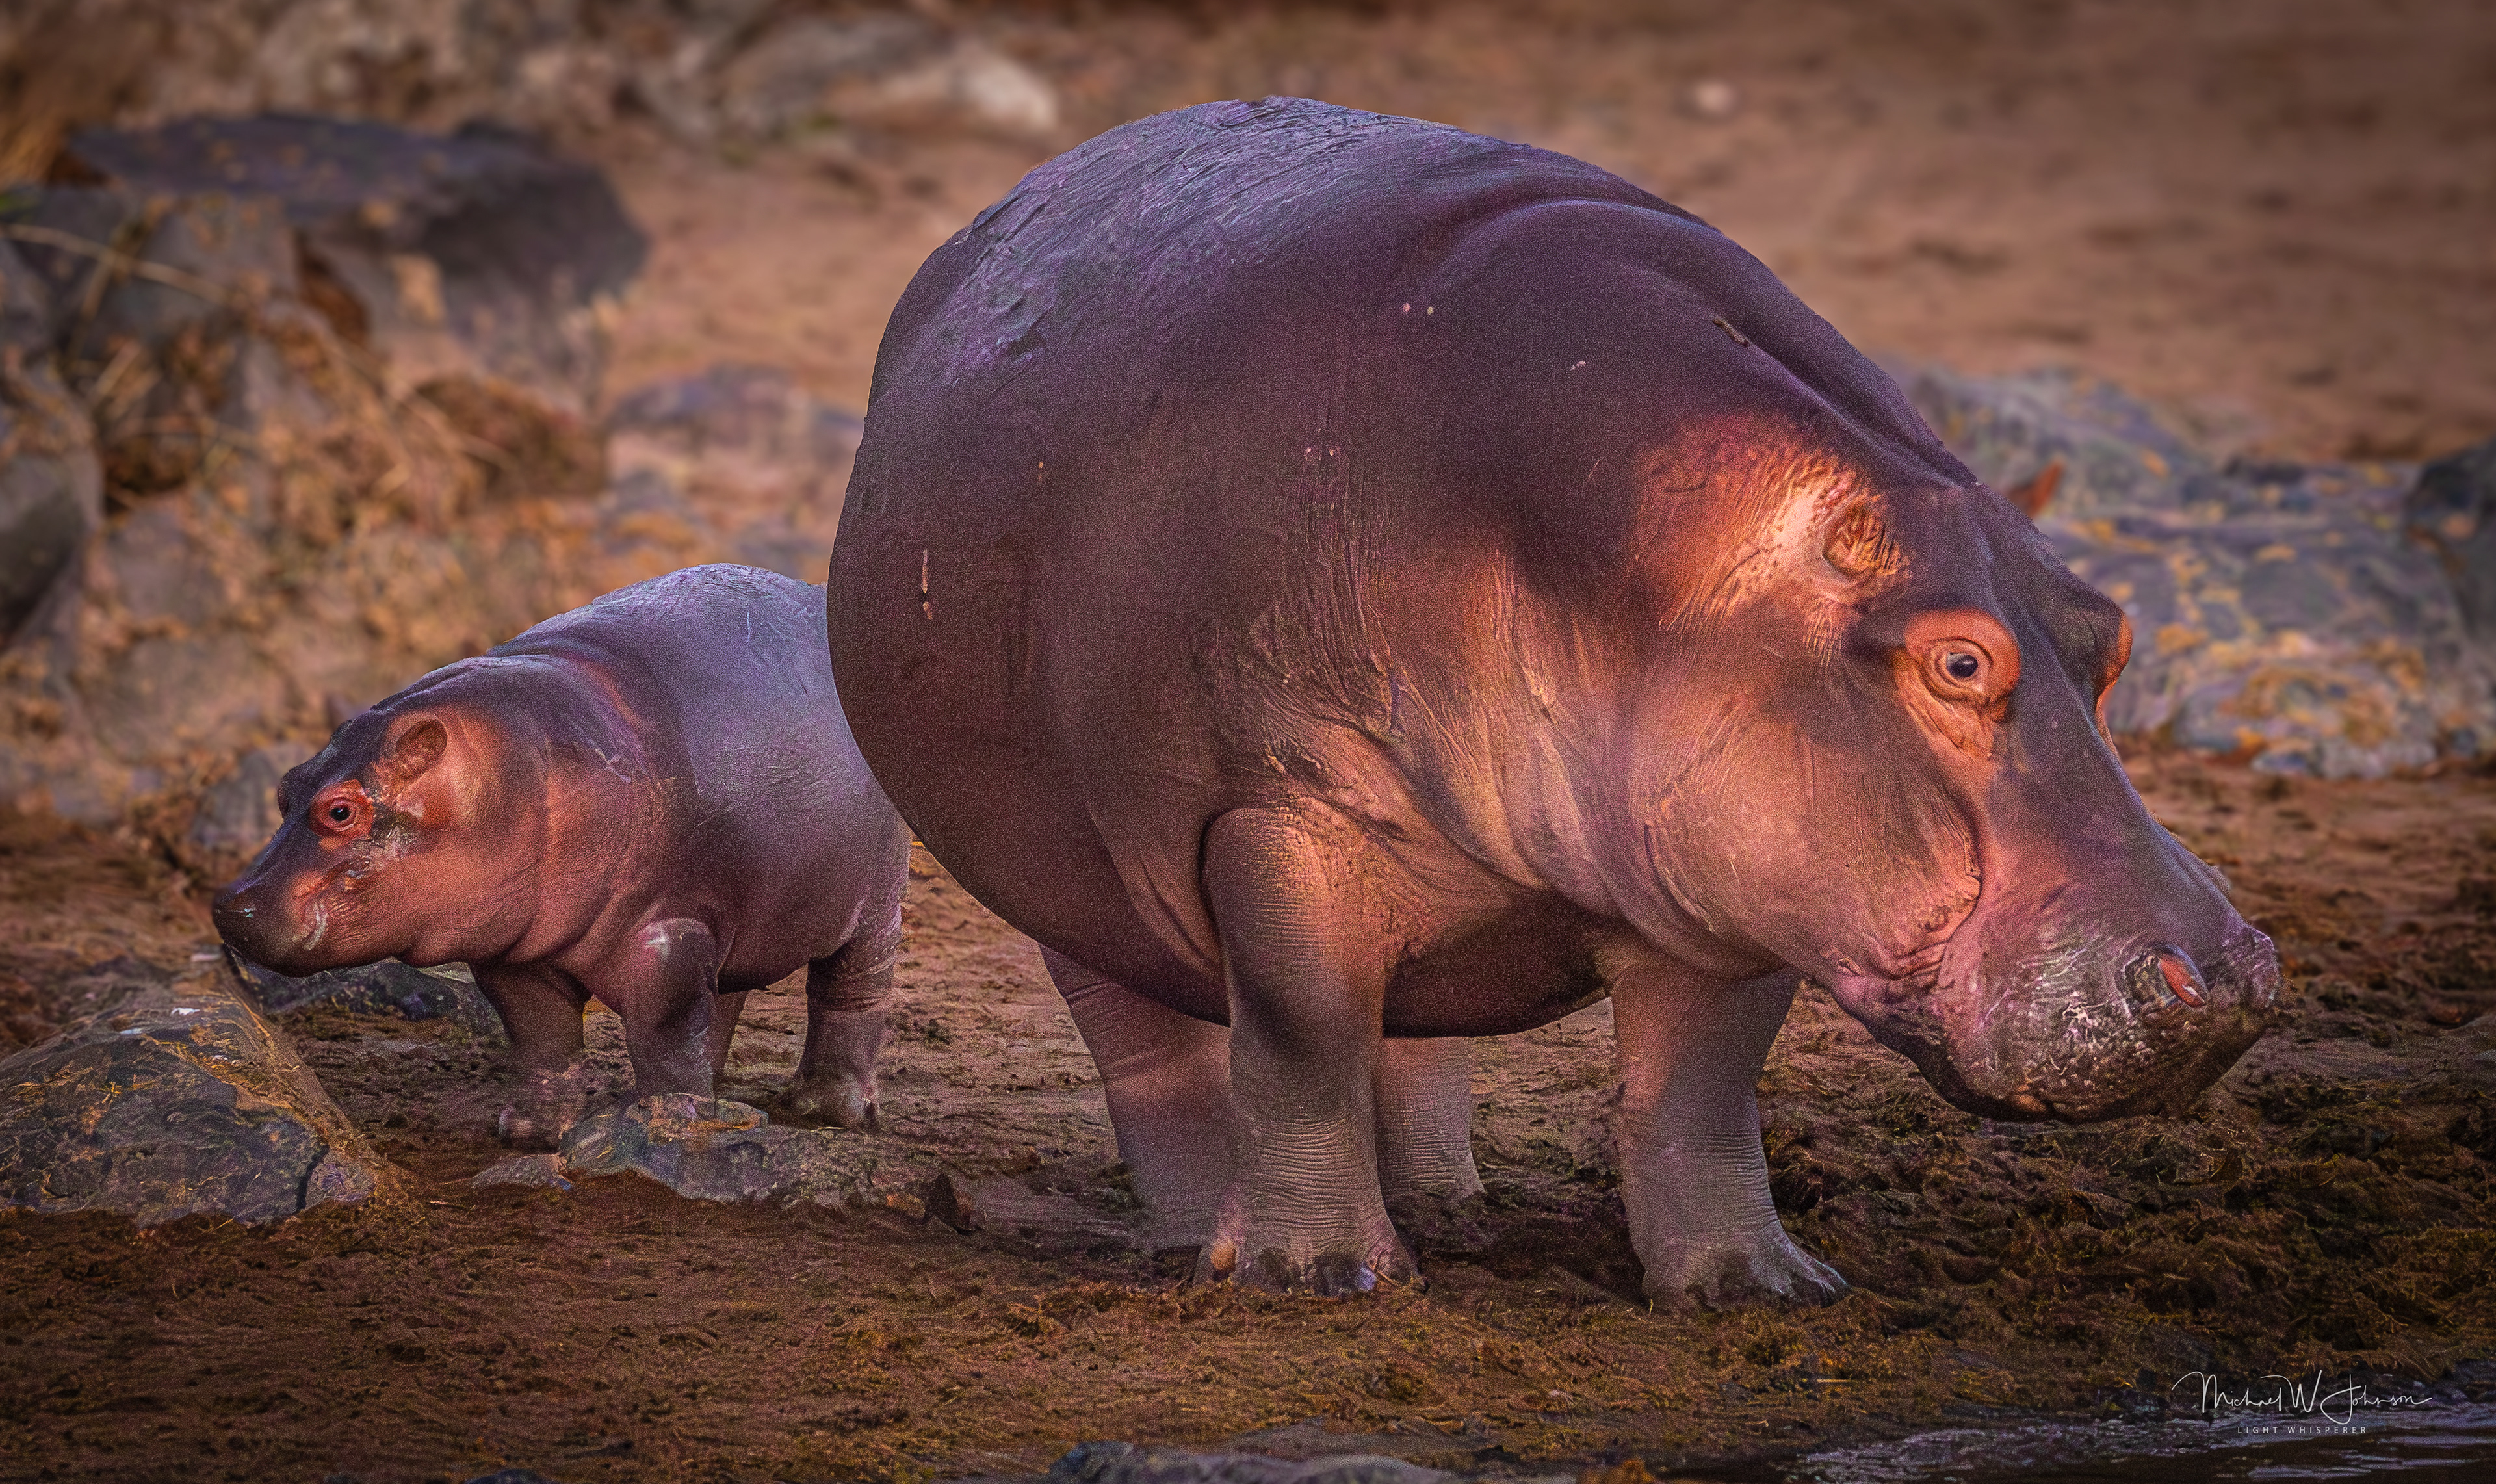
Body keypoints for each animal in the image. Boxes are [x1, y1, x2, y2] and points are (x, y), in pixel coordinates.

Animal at [214, 563, 909, 1132]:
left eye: (340, 809)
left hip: (875, 904)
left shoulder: (669, 932)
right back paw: (720, 1094)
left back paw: (830, 1111)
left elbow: (666, 1036)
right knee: (726, 995)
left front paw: (672, 1122)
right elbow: (541, 1040)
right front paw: (532, 1132)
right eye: (285, 786)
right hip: (738, 917)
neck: (513, 774)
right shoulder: (516, 954)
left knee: (850, 992)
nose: (228, 902)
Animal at [826, 99, 2282, 1303]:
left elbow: (1697, 1088)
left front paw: (1761, 1288)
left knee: (1415, 1030)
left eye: (2109, 631)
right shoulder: (1275, 811)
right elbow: (1298, 1039)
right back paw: (1199, 1237)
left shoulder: (1734, 876)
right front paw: (1317, 1278)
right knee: (1157, 1050)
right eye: (1960, 661)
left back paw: (1446, 1209)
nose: (2225, 973)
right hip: (1063, 873)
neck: (1644, 565)